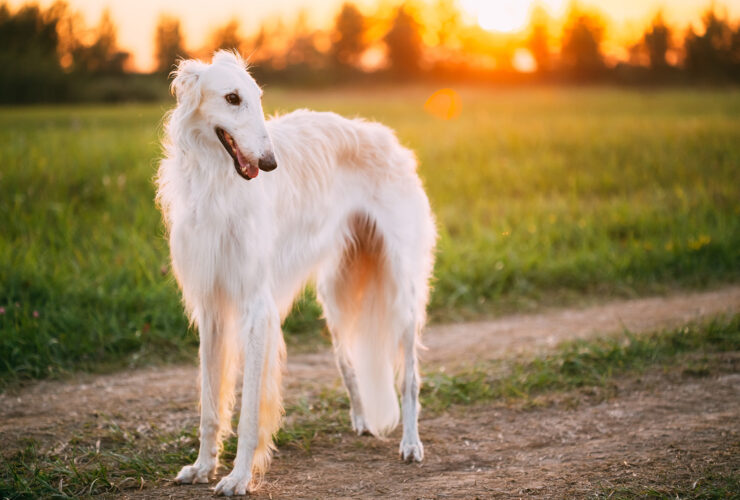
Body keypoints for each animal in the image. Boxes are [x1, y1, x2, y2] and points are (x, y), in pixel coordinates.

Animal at [155, 48, 434, 494]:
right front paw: (202, 466)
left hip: (401, 291)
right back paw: (362, 420)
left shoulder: (256, 308)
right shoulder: (211, 307)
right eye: (232, 98)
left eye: (257, 97)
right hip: (335, 297)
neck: (218, 184)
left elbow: (250, 411)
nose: (270, 163)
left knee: (409, 378)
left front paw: (238, 477)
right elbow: (210, 406)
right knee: (348, 364)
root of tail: (388, 140)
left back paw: (410, 443)